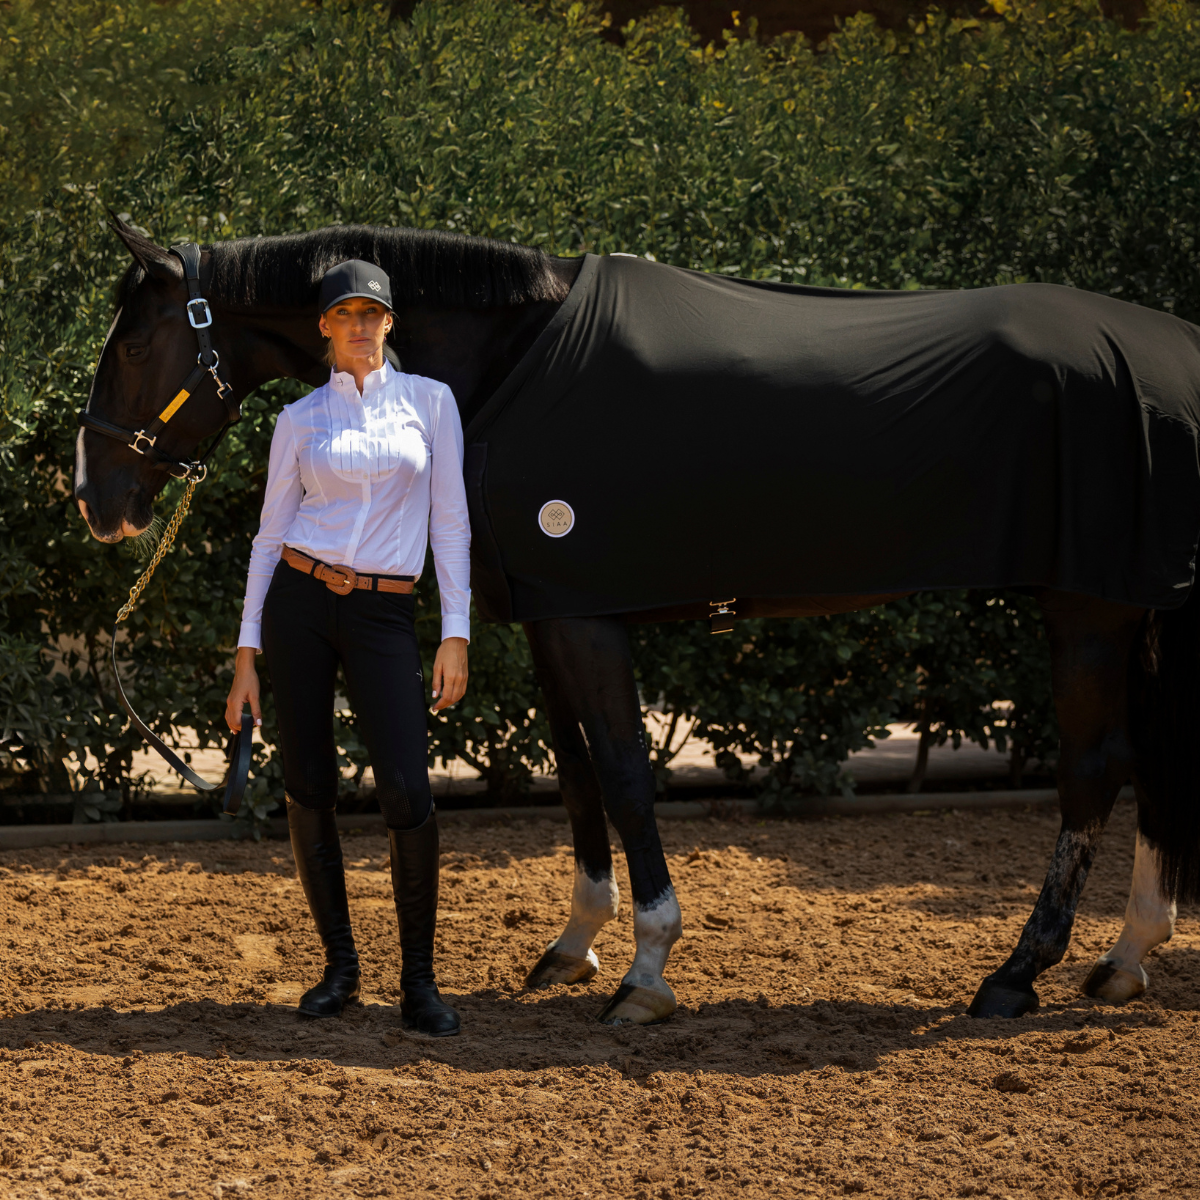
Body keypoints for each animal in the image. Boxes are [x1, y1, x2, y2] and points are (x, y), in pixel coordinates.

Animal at [74, 216, 1200, 1025]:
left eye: (134, 342)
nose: (94, 501)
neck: (513, 360)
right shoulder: (552, 613)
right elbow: (576, 767)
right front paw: (575, 945)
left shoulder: (589, 617)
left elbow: (621, 769)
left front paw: (647, 968)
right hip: (1136, 606)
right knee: (1151, 759)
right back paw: (1124, 957)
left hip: (1089, 607)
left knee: (1095, 766)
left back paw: (1017, 974)